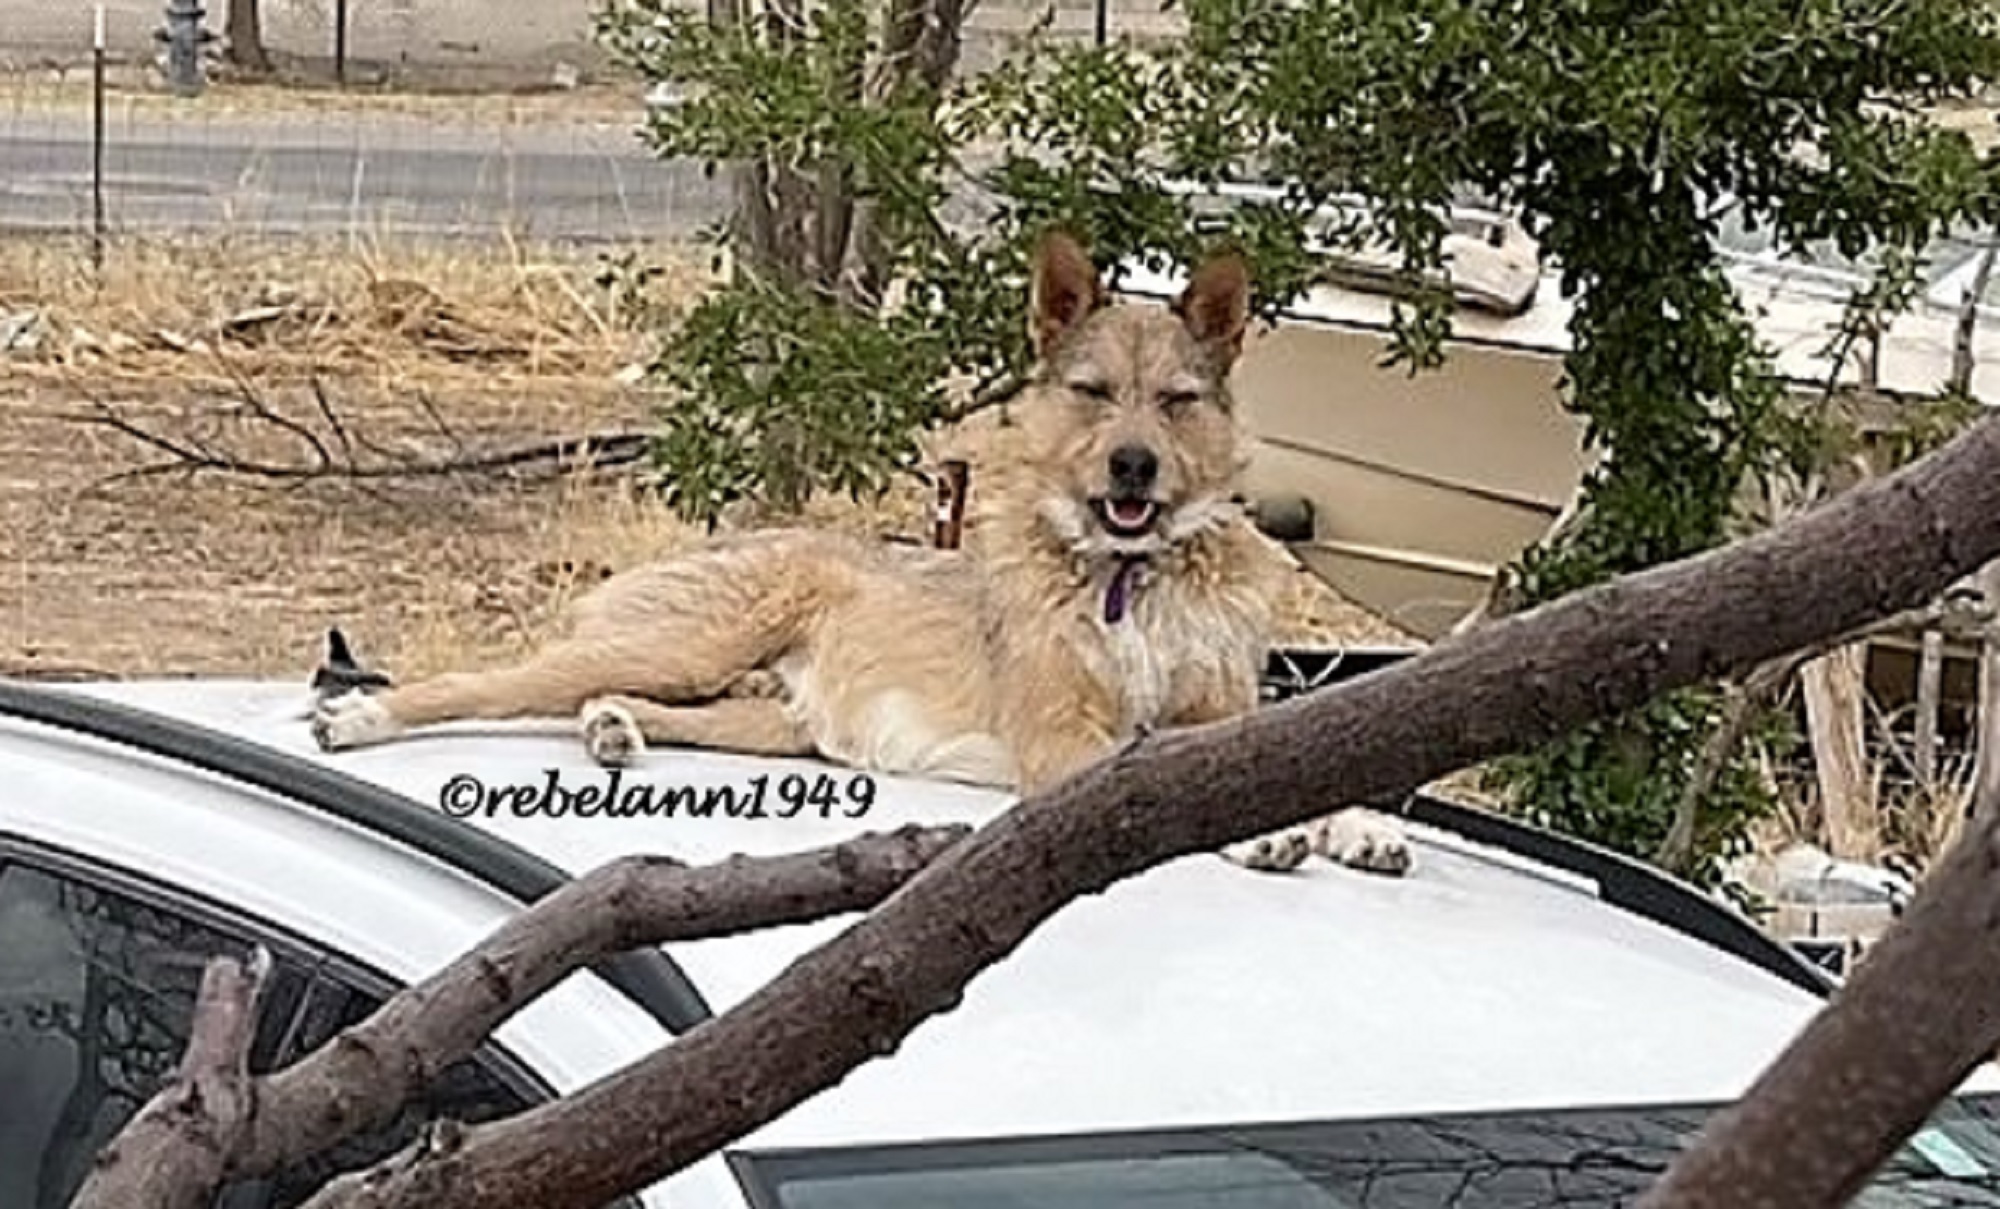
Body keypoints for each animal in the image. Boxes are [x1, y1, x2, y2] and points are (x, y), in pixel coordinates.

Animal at [308, 226, 1408, 872]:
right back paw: (361, 717)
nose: (1132, 467)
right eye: (1094, 393)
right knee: (482, 684)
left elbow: (1306, 775)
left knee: (636, 707)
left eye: (1176, 401)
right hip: (684, 643)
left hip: (774, 721)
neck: (1128, 576)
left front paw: (1356, 824)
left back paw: (612, 727)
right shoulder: (1068, 747)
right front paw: (1280, 832)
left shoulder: (1225, 718)